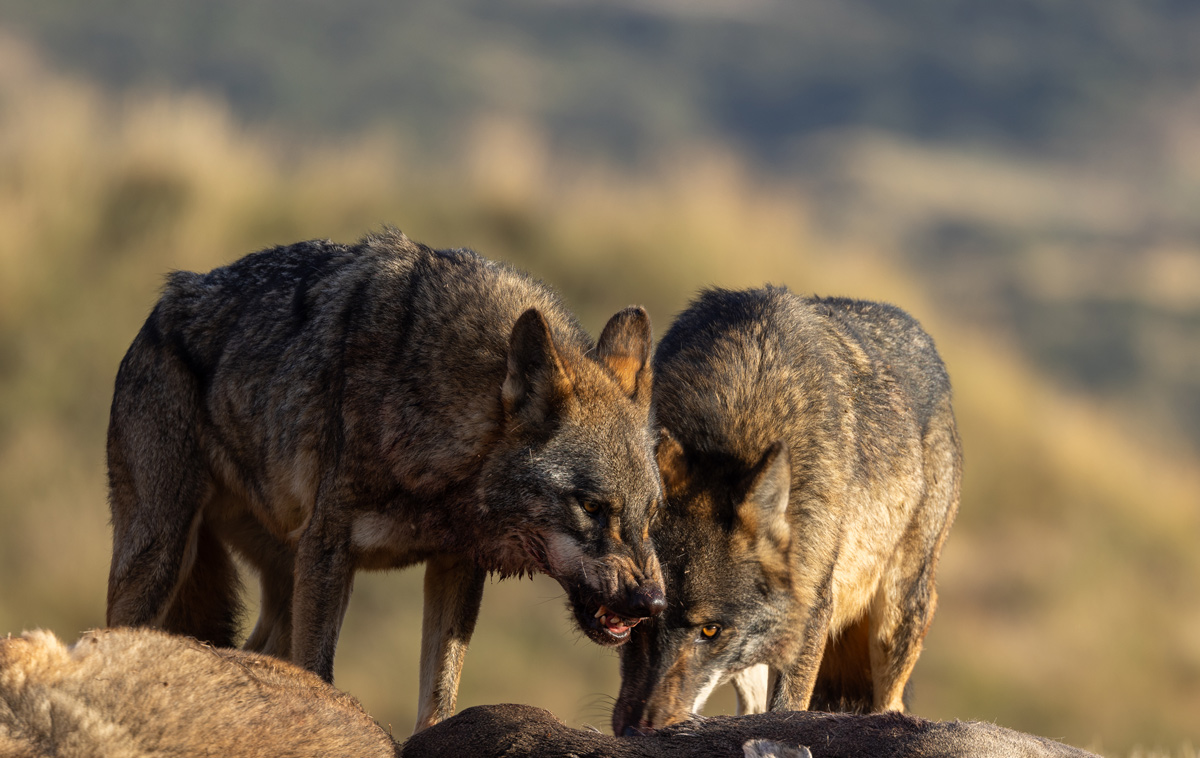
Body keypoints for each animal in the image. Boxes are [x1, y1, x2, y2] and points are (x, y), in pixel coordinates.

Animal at [103, 227, 667, 729]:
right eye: (591, 506)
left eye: (652, 513)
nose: (653, 604)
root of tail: (163, 305)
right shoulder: (329, 552)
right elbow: (321, 675)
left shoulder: (455, 563)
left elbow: (439, 700)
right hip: (162, 558)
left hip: (278, 579)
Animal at [614, 285, 960, 734]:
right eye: (639, 618)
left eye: (711, 630)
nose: (637, 730)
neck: (735, 419)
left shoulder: (812, 607)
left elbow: (787, 710)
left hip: (895, 614)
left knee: (892, 703)